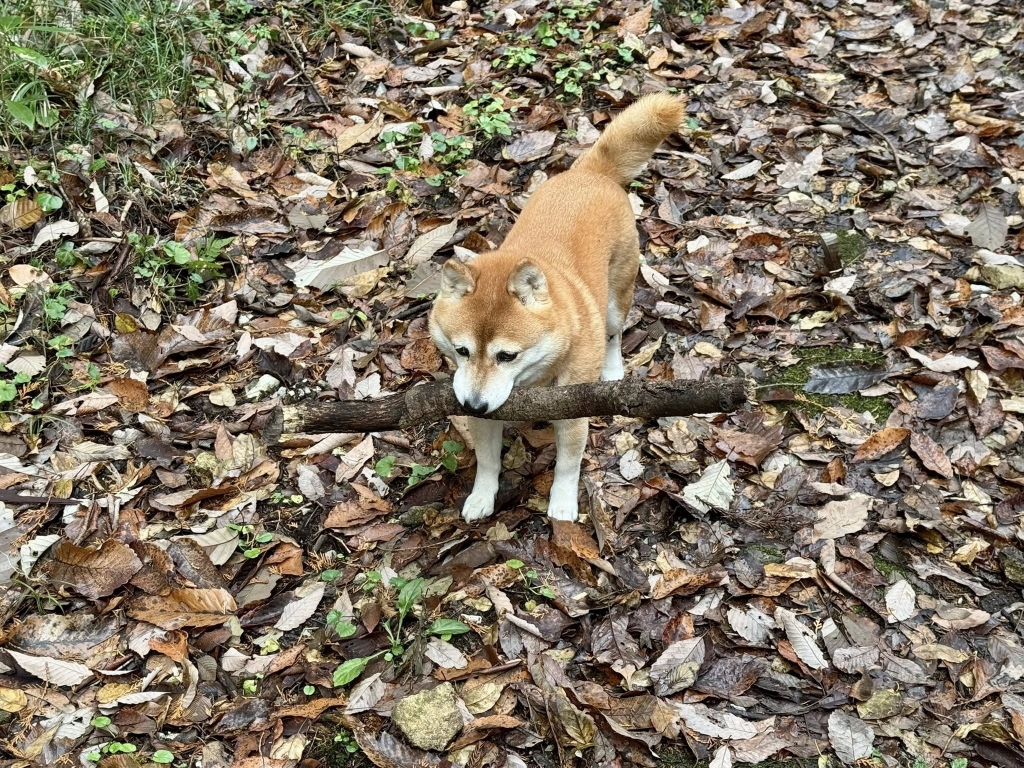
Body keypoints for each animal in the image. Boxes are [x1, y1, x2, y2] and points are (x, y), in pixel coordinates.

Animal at [429, 93, 686, 523]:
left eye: (507, 355)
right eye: (461, 350)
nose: (475, 404)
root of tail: (592, 173)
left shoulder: (573, 414)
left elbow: (568, 464)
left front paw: (563, 504)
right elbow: (487, 461)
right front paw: (481, 496)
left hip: (616, 299)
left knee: (614, 334)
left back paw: (612, 369)